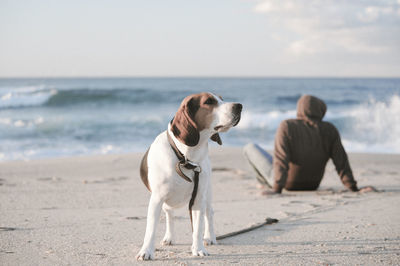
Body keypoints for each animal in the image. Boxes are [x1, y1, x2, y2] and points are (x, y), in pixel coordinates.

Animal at [136, 91, 242, 260]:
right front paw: (146, 251)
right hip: (166, 203)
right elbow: (150, 230)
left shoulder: (198, 199)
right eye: (209, 101)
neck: (185, 158)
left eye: (222, 99)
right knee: (170, 215)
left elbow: (197, 228)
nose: (239, 106)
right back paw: (169, 237)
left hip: (207, 194)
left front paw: (198, 249)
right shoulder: (157, 199)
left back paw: (210, 237)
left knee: (209, 213)